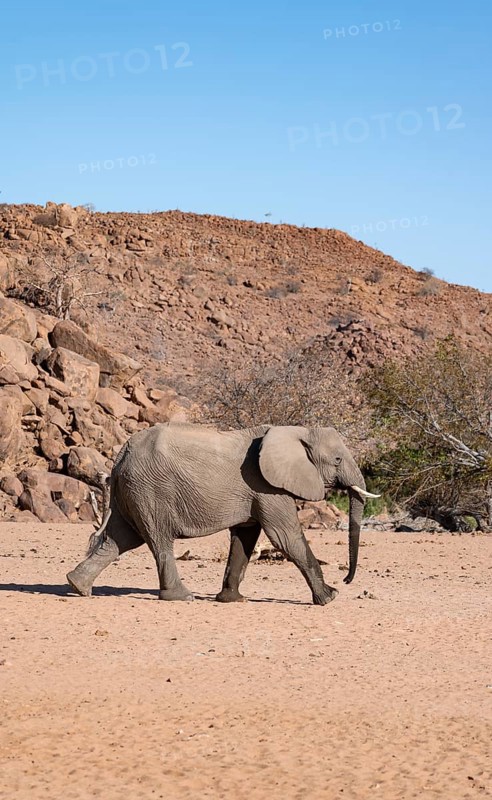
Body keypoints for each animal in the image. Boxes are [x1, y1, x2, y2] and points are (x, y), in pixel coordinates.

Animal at [66, 423, 378, 605]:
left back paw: (76, 586)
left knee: (120, 539)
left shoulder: (256, 491)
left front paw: (231, 600)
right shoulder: (266, 486)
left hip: (132, 490)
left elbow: (245, 537)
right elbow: (285, 537)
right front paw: (330, 598)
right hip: (151, 489)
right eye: (337, 459)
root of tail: (121, 454)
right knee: (159, 539)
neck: (294, 430)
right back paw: (182, 597)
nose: (346, 580)